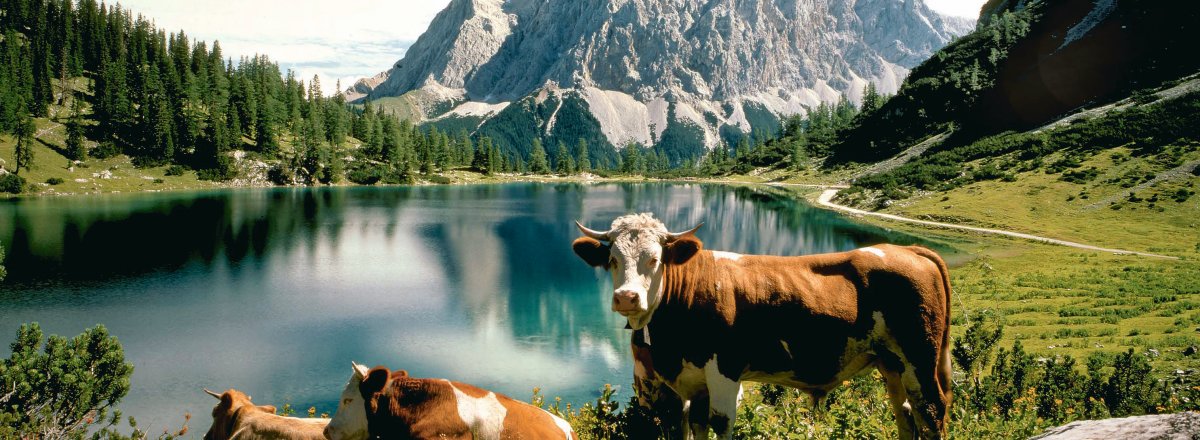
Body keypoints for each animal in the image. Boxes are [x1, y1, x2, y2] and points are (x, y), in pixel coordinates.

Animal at [571, 212, 955, 438]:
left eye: (655, 259)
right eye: (611, 260)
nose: (626, 298)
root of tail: (909, 249)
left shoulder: (725, 371)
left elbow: (720, 424)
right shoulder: (693, 382)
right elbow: (696, 425)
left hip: (920, 356)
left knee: (931, 411)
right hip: (891, 362)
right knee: (906, 414)